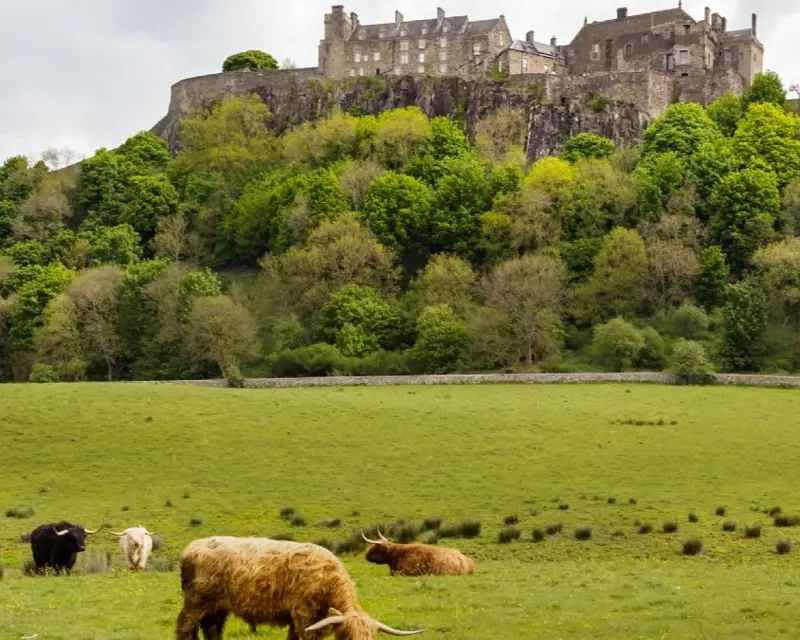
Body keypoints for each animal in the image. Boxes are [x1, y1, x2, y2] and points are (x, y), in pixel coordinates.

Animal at [176, 536, 424, 640]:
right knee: (185, 628)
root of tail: (193, 547)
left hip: (218, 607)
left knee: (211, 629)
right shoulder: (303, 613)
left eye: (373, 637)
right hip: (197, 602)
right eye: (349, 637)